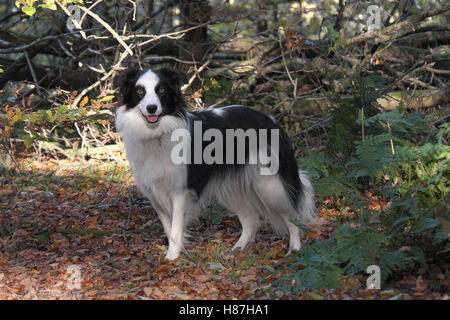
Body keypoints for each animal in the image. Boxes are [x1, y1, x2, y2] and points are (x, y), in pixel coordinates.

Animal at [114, 67, 314, 260]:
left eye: (161, 90)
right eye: (140, 91)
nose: (152, 108)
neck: (156, 135)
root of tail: (270, 120)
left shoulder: (180, 192)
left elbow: (176, 231)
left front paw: (172, 258)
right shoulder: (154, 193)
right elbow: (168, 227)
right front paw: (174, 255)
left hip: (269, 185)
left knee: (291, 214)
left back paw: (295, 248)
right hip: (232, 189)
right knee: (251, 221)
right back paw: (238, 249)